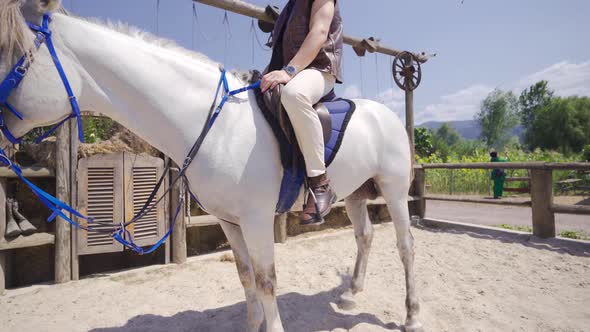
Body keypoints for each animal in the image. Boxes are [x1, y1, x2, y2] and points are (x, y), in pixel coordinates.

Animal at [1, 1, 426, 330]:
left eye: (16, 58)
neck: (218, 125)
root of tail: (388, 116)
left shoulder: (256, 219)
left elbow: (266, 281)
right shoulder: (229, 221)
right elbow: (245, 277)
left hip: (393, 190)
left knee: (406, 245)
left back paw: (411, 316)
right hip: (353, 193)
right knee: (365, 236)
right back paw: (351, 294)